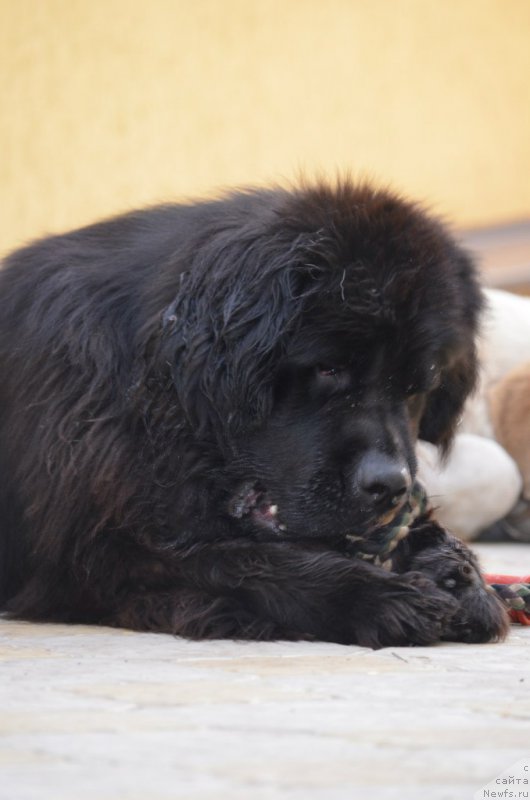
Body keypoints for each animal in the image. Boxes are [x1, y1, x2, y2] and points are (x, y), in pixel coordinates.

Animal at [0, 180, 506, 644]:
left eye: (418, 387)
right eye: (328, 368)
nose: (389, 485)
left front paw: (457, 573)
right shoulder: (93, 550)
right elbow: (241, 563)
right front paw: (382, 598)